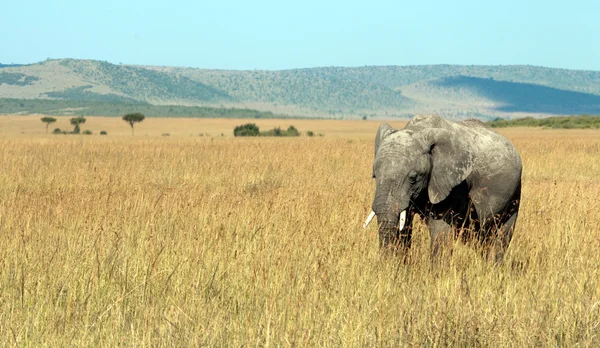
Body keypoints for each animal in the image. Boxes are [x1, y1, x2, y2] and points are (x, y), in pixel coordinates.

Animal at [364, 115, 524, 262]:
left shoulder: (454, 184)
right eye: (375, 176)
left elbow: (440, 230)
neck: (418, 130)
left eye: (413, 177)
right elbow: (404, 224)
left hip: (515, 192)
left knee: (502, 234)